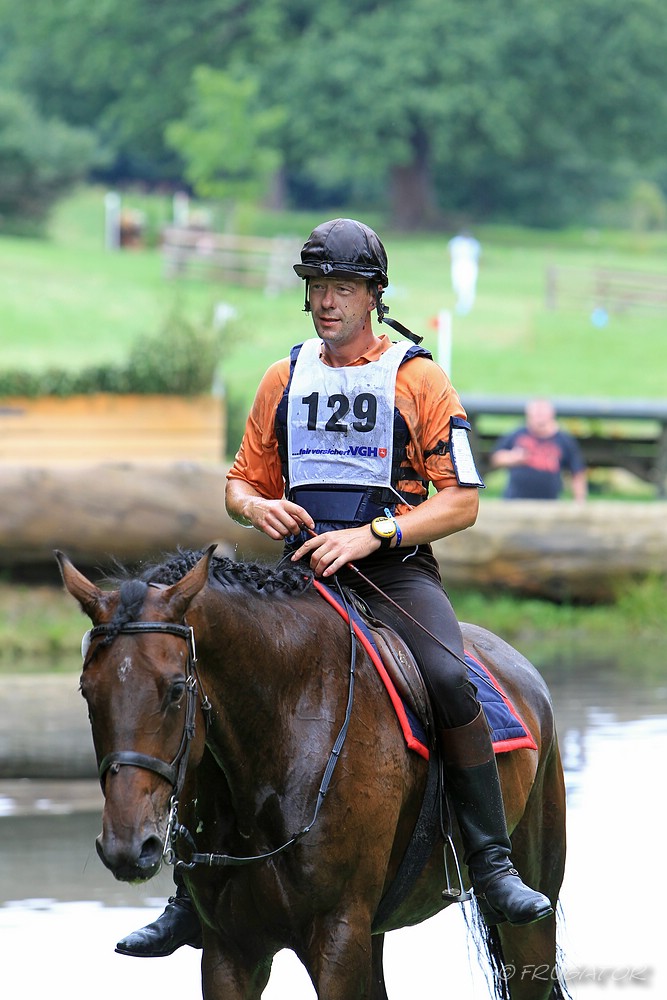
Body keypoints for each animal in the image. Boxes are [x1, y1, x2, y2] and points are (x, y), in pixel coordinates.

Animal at [58, 548, 568, 1000]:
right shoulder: (229, 951)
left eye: (175, 690)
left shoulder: (338, 937)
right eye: (87, 691)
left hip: (531, 919)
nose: (127, 847)